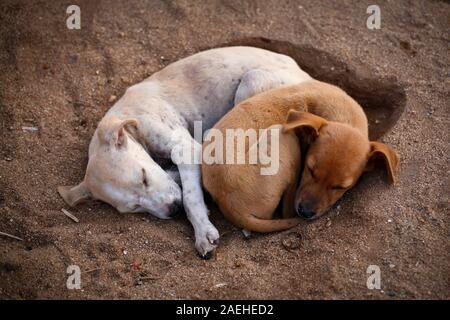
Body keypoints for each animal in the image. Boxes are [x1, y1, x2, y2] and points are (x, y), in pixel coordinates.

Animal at [200, 79, 398, 231]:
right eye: (309, 169)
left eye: (341, 187)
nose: (305, 212)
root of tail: (231, 206)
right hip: (282, 137)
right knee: (286, 209)